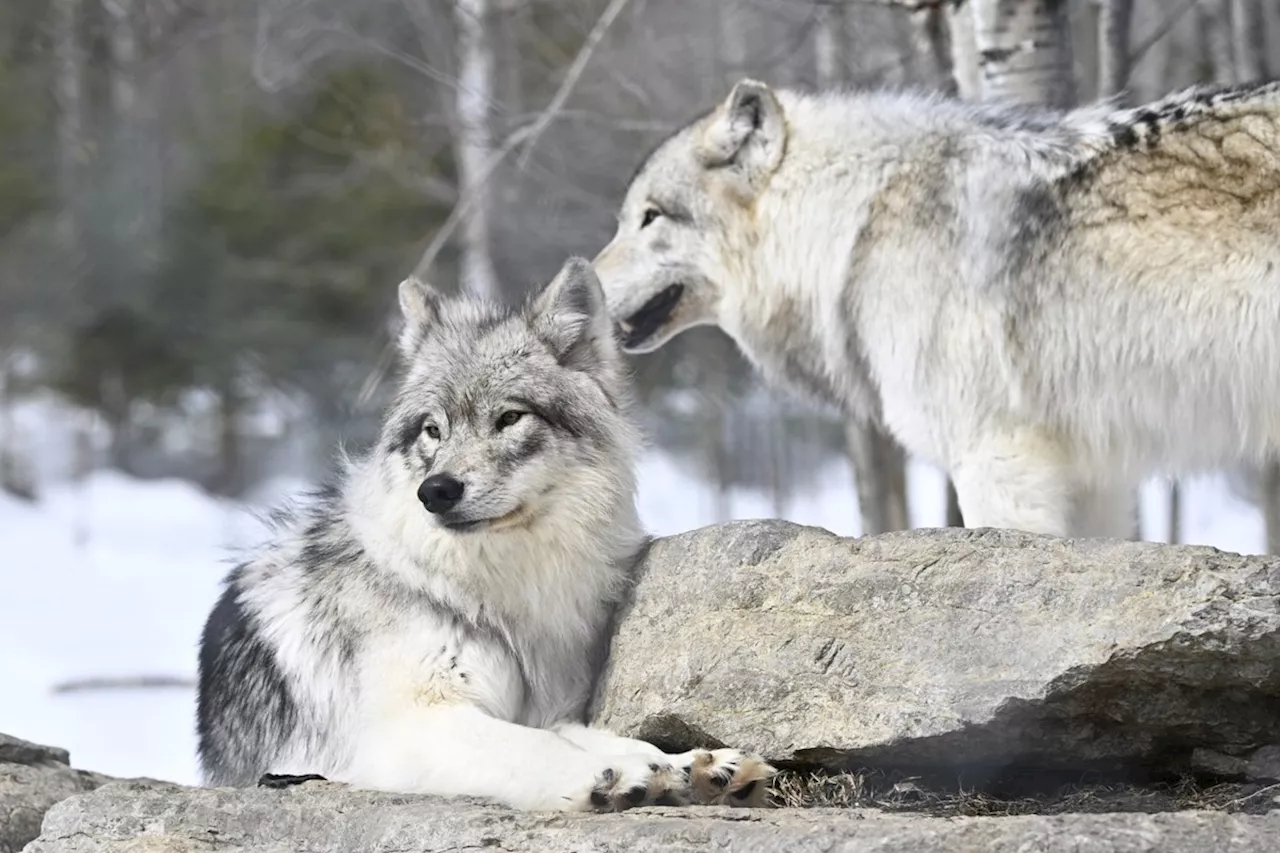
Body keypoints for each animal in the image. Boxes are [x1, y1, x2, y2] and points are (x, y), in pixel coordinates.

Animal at [189, 256, 768, 809]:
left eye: (510, 417)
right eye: (433, 430)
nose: (435, 491)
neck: (498, 591)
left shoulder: (546, 706)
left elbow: (606, 737)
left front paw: (693, 763)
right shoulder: (417, 724)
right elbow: (544, 747)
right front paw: (620, 777)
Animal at [593, 76, 1280, 535]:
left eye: (650, 217)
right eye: (625, 219)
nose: (583, 286)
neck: (852, 225)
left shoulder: (995, 459)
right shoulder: (1095, 479)